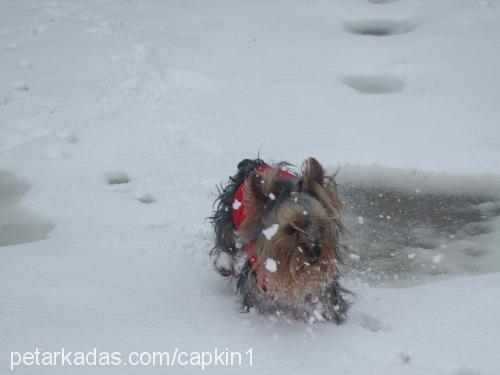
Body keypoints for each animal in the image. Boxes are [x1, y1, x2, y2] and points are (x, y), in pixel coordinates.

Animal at [209, 158, 350, 324]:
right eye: (290, 229)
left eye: (321, 227)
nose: (316, 252)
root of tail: (253, 163)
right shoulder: (256, 277)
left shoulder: (322, 281)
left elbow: (328, 298)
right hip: (228, 217)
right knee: (227, 241)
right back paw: (224, 265)